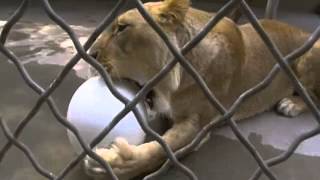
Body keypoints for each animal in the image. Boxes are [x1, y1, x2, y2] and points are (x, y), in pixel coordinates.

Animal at [83, 0, 320, 179]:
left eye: (122, 28)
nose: (90, 55)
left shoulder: (199, 126)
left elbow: (163, 149)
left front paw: (117, 164)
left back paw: (291, 104)